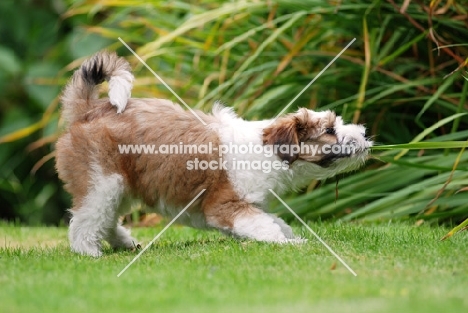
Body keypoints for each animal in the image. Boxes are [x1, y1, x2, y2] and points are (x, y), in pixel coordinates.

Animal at [54, 51, 372, 256]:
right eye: (329, 129)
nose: (364, 134)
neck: (268, 150)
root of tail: (89, 110)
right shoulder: (226, 206)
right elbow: (264, 225)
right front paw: (288, 244)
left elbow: (275, 221)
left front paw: (290, 236)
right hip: (102, 182)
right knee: (86, 220)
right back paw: (88, 252)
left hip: (120, 185)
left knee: (106, 219)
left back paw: (124, 244)